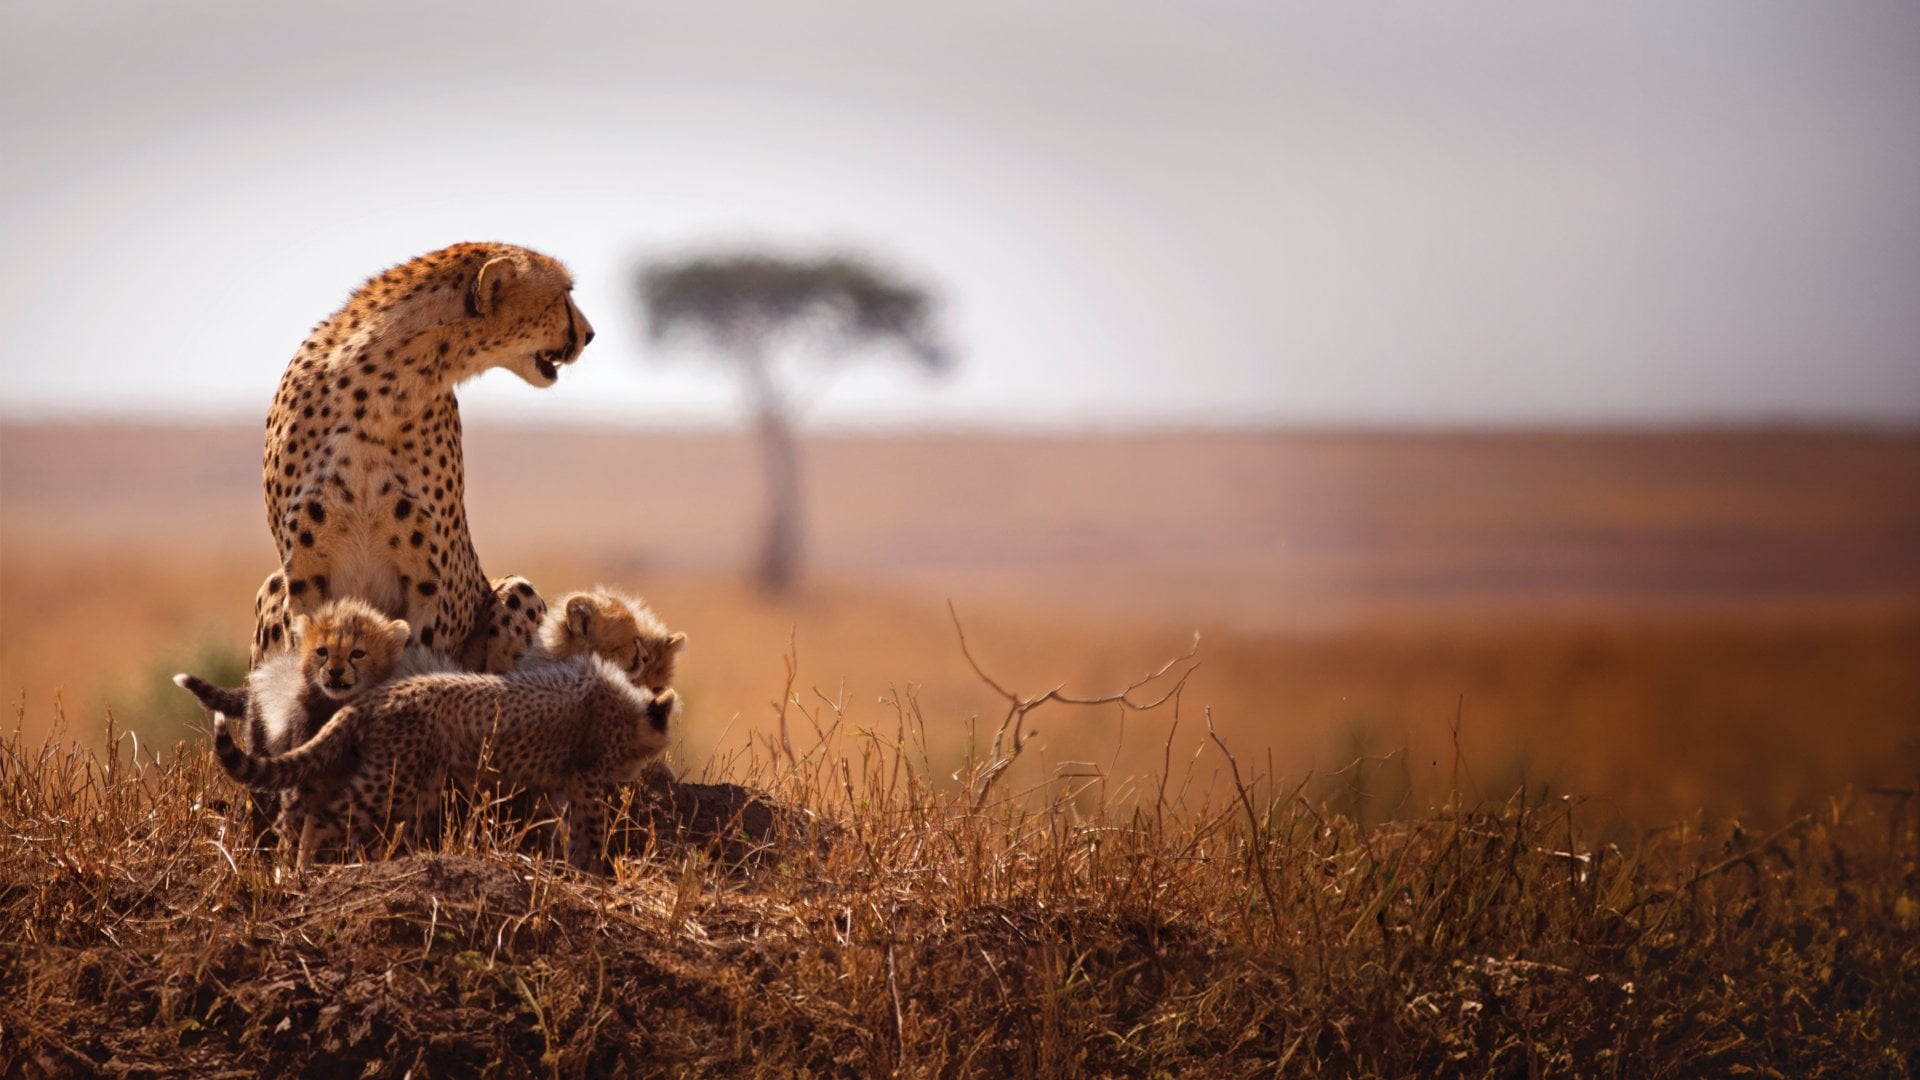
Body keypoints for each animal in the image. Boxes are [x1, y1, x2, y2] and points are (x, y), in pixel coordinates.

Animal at [213, 657, 678, 873]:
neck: (631, 708)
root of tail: (377, 694)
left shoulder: (563, 785)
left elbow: (565, 828)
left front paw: (570, 866)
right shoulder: (586, 781)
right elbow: (590, 830)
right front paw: (594, 871)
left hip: (414, 779)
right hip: (391, 780)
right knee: (323, 815)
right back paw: (303, 866)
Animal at [249, 242, 592, 675]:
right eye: (563, 292)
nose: (590, 334)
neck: (381, 388)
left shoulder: (426, 586)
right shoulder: (302, 579)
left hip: (518, 591)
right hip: (273, 584)